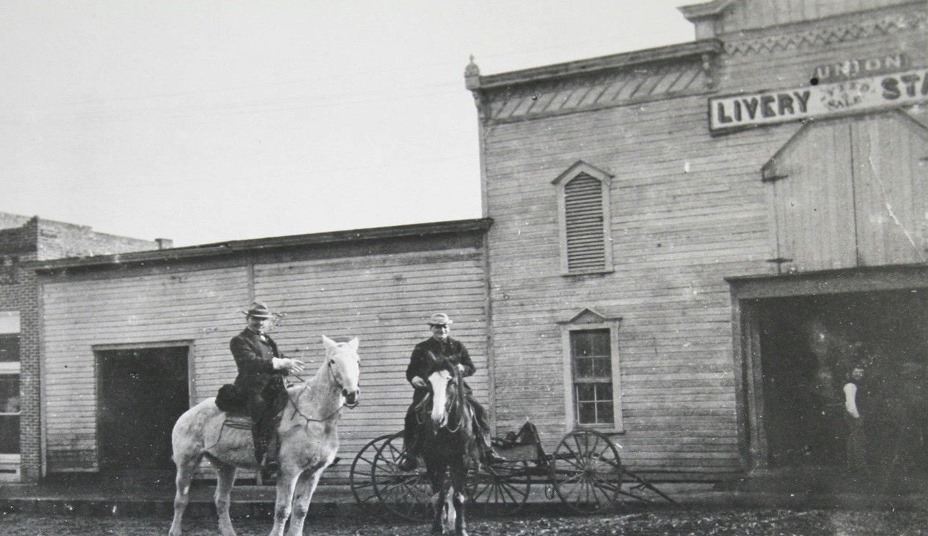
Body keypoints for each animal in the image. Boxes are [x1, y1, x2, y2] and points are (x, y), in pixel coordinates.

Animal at [169, 336, 360, 536]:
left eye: (357, 361)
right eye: (332, 361)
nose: (351, 393)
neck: (313, 415)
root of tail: (187, 414)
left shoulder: (313, 472)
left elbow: (301, 510)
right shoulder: (289, 471)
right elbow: (283, 509)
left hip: (225, 466)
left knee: (221, 500)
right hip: (187, 463)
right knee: (181, 499)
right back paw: (175, 530)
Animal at [416, 352, 482, 536]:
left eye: (451, 382)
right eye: (429, 383)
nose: (437, 419)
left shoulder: (462, 460)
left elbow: (458, 496)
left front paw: (461, 528)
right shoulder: (433, 460)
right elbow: (438, 496)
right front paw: (437, 527)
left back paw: (452, 521)